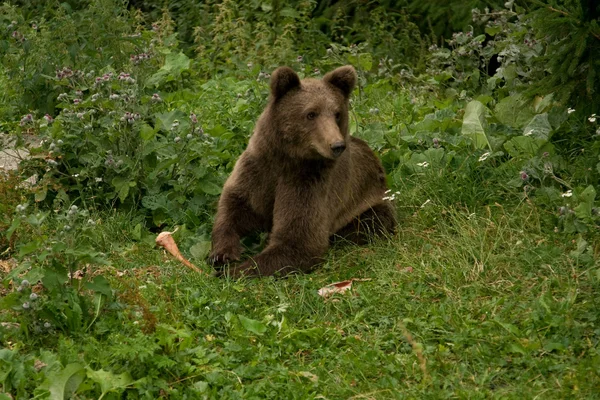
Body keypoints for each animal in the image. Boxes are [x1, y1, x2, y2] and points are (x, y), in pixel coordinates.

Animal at [209, 65, 396, 278]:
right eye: (311, 114)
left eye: (337, 113)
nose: (337, 145)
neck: (288, 159)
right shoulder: (258, 169)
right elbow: (234, 206)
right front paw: (222, 254)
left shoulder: (308, 181)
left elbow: (298, 240)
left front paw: (232, 272)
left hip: (368, 201)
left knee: (372, 222)